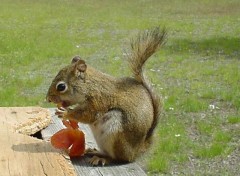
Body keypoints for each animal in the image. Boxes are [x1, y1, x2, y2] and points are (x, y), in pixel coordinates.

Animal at [46, 26, 166, 166]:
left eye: (61, 87)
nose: (48, 99)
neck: (91, 85)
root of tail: (135, 153)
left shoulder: (99, 101)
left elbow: (89, 114)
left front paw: (65, 113)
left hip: (116, 133)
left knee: (118, 158)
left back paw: (104, 158)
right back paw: (95, 151)